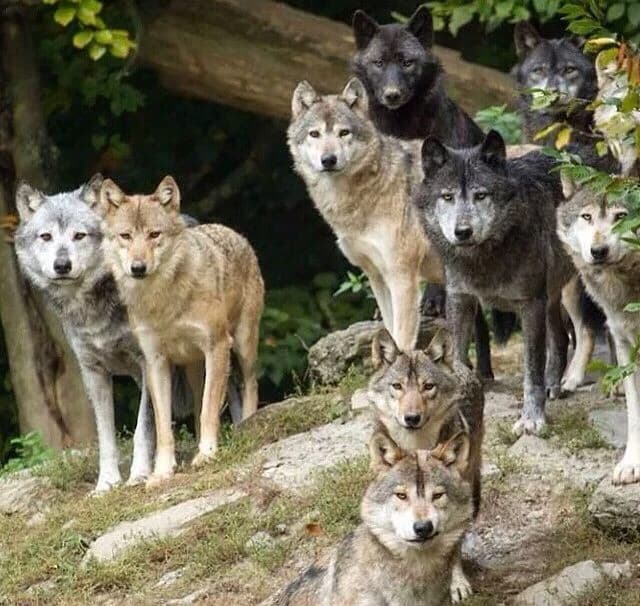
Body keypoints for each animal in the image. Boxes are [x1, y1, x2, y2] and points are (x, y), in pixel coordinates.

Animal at [14, 175, 157, 492]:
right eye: (46, 237)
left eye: (79, 236)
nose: (62, 265)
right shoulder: (93, 372)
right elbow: (106, 438)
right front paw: (106, 484)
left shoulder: (148, 362)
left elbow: (142, 428)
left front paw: (139, 474)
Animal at [99, 176, 264, 486]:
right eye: (126, 236)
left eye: (154, 235)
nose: (138, 267)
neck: (163, 300)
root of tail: (234, 233)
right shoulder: (155, 363)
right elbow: (164, 427)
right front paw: (162, 472)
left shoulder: (217, 346)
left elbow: (210, 410)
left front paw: (208, 454)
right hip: (193, 367)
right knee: (200, 404)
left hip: (242, 346)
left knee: (250, 385)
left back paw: (247, 424)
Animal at [367, 327, 483, 602]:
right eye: (397, 386)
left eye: (428, 387)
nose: (411, 417)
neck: (416, 444)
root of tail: (458, 362)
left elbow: (452, 547)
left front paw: (456, 583)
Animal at [414, 130, 575, 435]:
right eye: (447, 197)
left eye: (481, 195)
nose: (462, 232)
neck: (483, 258)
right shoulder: (460, 300)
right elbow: (458, 362)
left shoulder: (530, 305)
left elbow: (531, 371)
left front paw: (532, 419)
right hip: (551, 298)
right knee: (560, 337)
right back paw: (553, 384)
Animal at [557, 179, 640, 484]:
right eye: (587, 216)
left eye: (621, 216)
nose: (599, 251)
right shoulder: (626, 345)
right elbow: (634, 413)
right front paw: (631, 463)